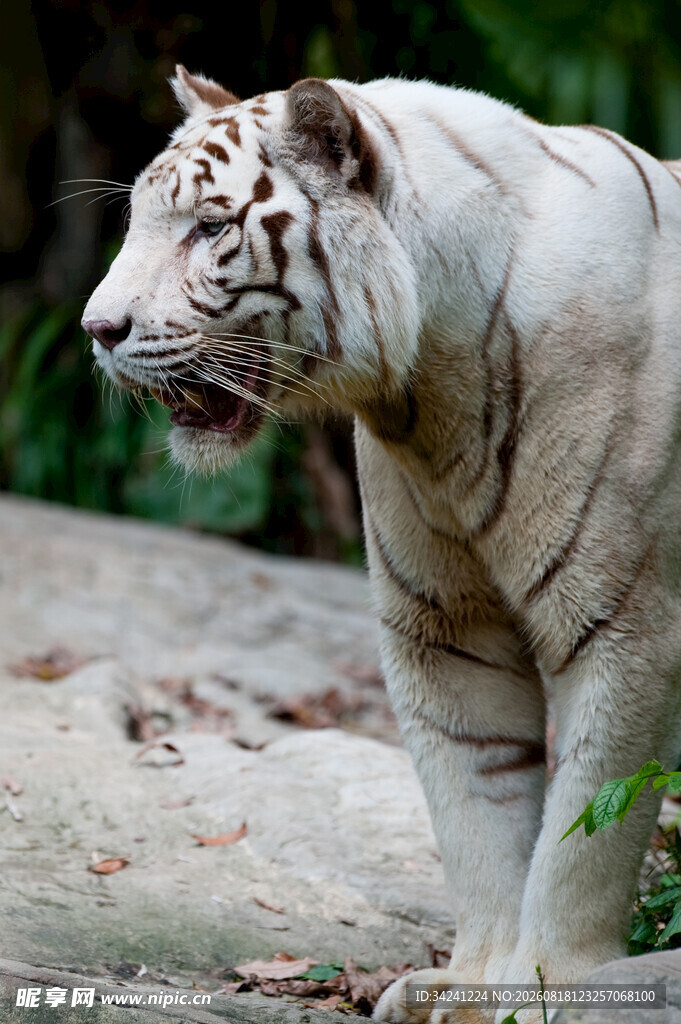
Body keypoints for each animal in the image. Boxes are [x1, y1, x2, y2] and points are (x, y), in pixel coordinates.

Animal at [82, 65, 681, 1023]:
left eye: (209, 227)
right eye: (139, 219)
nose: (96, 333)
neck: (437, 379)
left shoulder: (624, 627)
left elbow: (588, 825)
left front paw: (543, 988)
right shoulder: (444, 629)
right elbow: (475, 809)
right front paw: (469, 983)